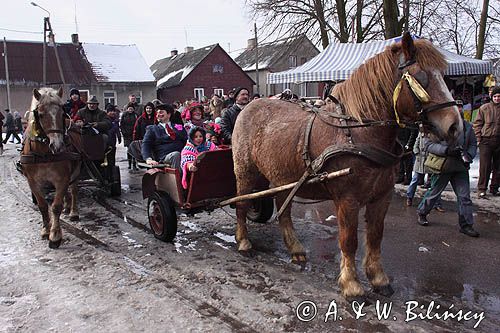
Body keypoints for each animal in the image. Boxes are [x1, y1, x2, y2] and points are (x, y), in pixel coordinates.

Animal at [21, 87, 80, 248]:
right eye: (40, 114)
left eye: (62, 113)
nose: (57, 145)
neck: (44, 154)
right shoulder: (33, 182)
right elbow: (42, 206)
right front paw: (45, 230)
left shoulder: (62, 178)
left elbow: (55, 206)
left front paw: (55, 236)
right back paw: (67, 207)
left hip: (75, 171)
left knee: (74, 190)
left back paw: (73, 212)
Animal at [232, 34, 462, 300]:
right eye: (421, 77)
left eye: (444, 76)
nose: (455, 126)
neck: (358, 133)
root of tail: (247, 107)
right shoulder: (347, 199)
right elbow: (349, 240)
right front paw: (351, 284)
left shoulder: (381, 197)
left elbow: (375, 236)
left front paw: (378, 278)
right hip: (246, 173)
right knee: (242, 204)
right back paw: (244, 242)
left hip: (283, 177)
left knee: (284, 210)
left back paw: (295, 248)